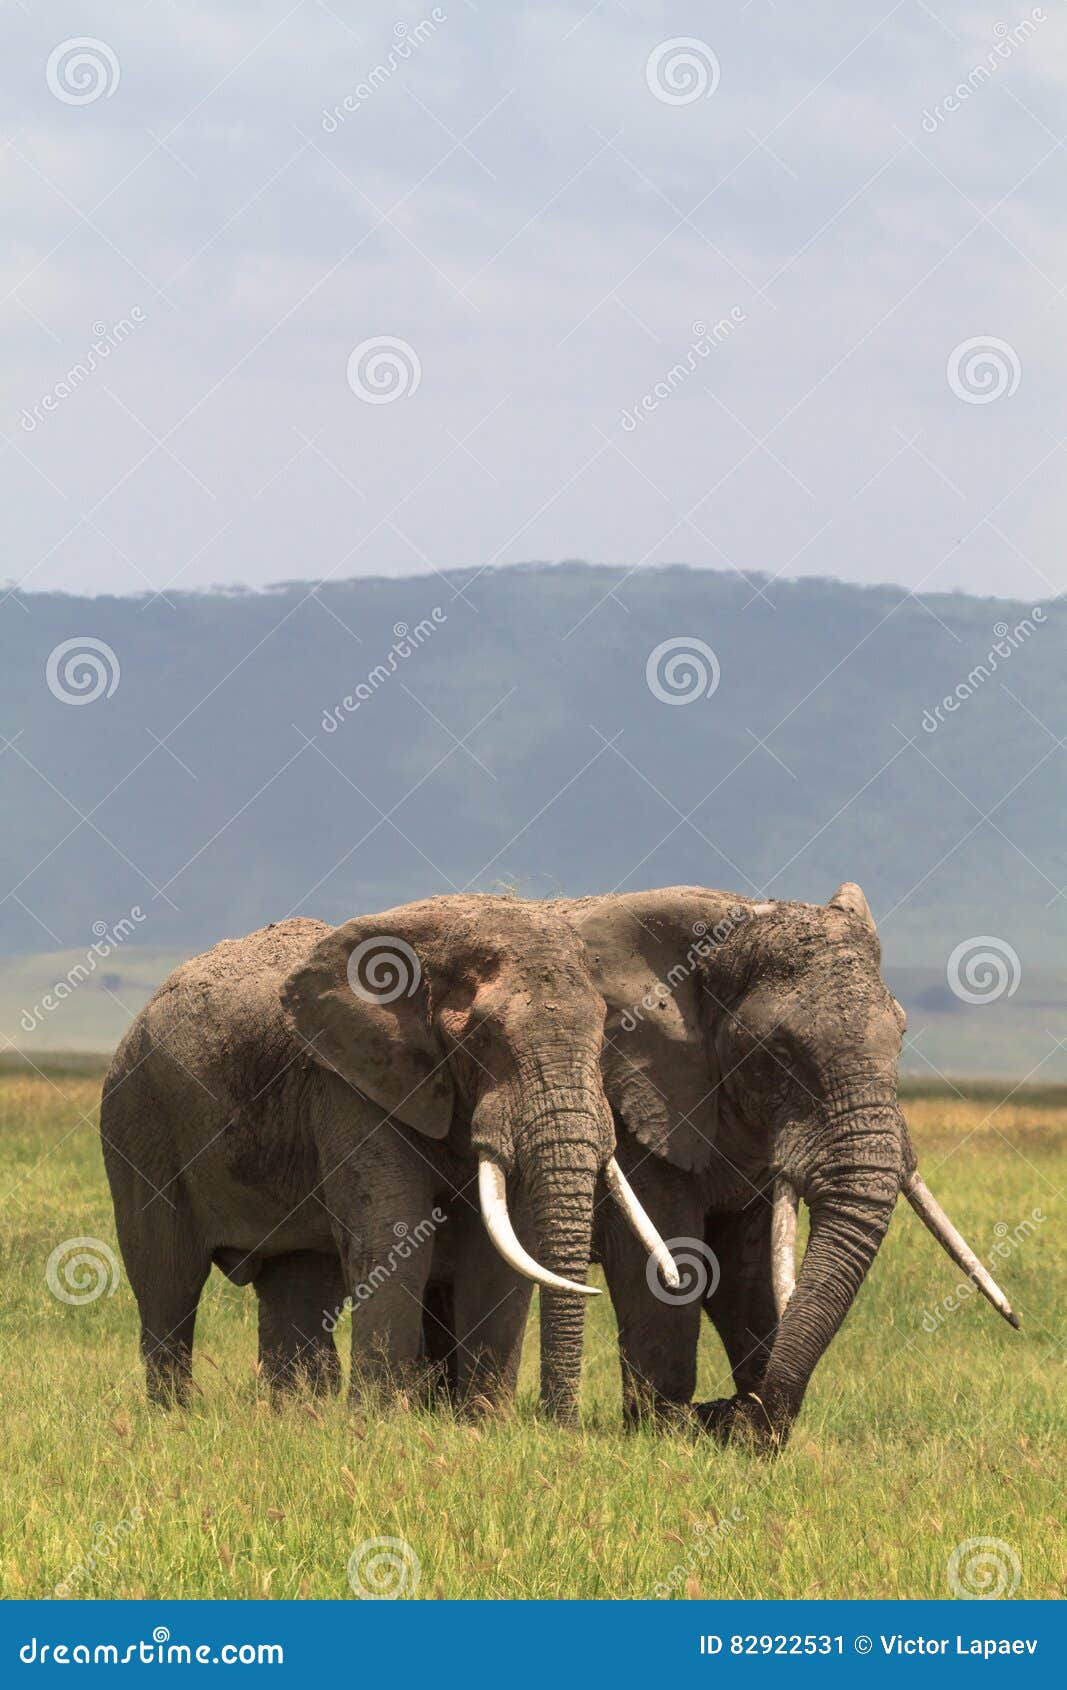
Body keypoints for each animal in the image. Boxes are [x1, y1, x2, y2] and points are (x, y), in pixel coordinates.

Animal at [104, 899, 679, 1426]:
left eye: (604, 1031)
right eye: (482, 1035)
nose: (559, 1425)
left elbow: (498, 1251)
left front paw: (484, 1426)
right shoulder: (350, 1085)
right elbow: (396, 1235)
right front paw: (379, 1425)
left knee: (299, 1280)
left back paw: (296, 1420)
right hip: (136, 1117)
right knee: (167, 1277)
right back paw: (173, 1418)